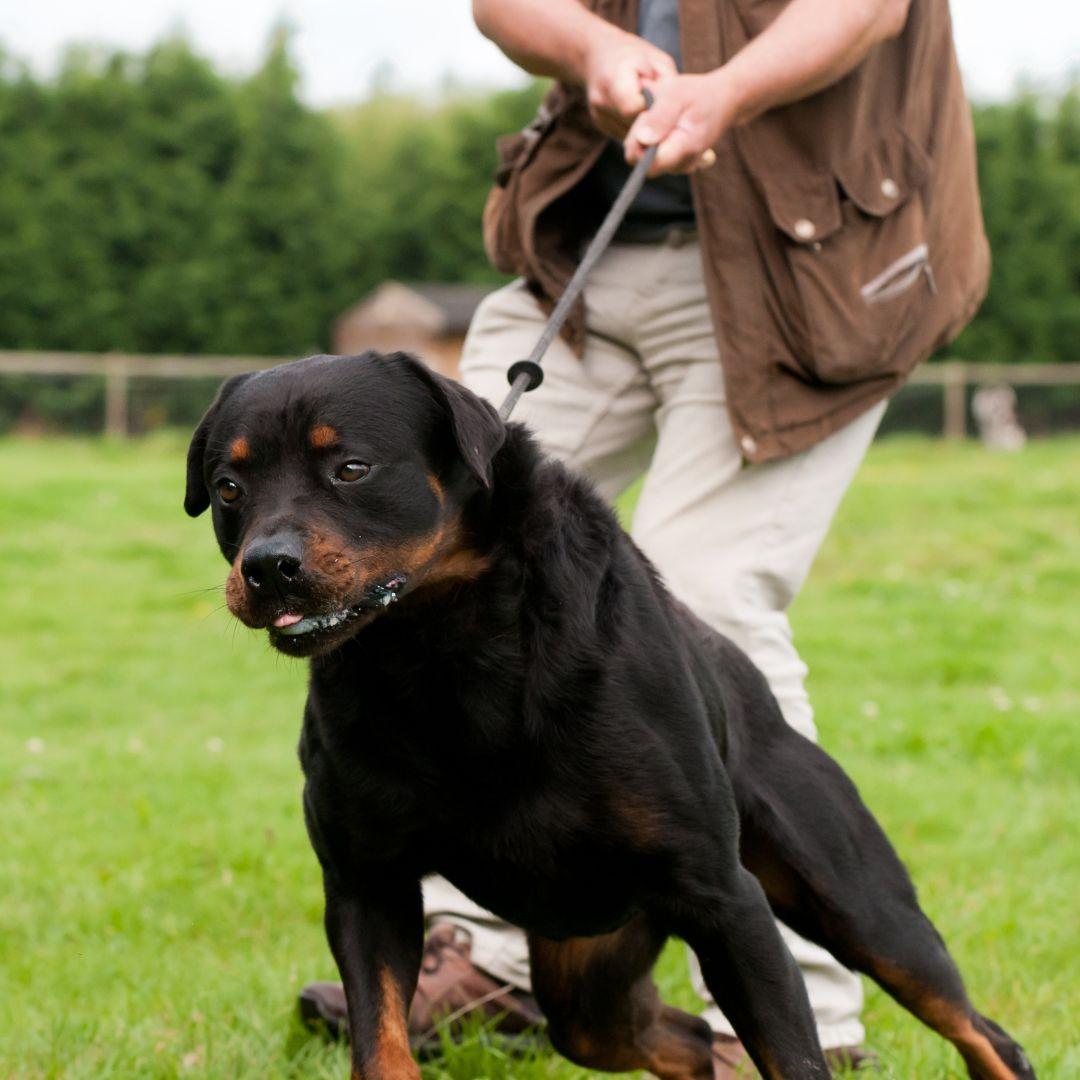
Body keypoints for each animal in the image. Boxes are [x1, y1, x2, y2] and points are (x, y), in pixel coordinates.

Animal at [185, 349, 1036, 1075]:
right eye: (228, 488)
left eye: (352, 468)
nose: (267, 567)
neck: (444, 651)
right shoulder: (368, 884)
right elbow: (381, 1046)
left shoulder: (724, 899)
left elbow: (795, 1059)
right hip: (586, 975)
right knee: (679, 1040)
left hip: (854, 903)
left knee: (979, 1030)